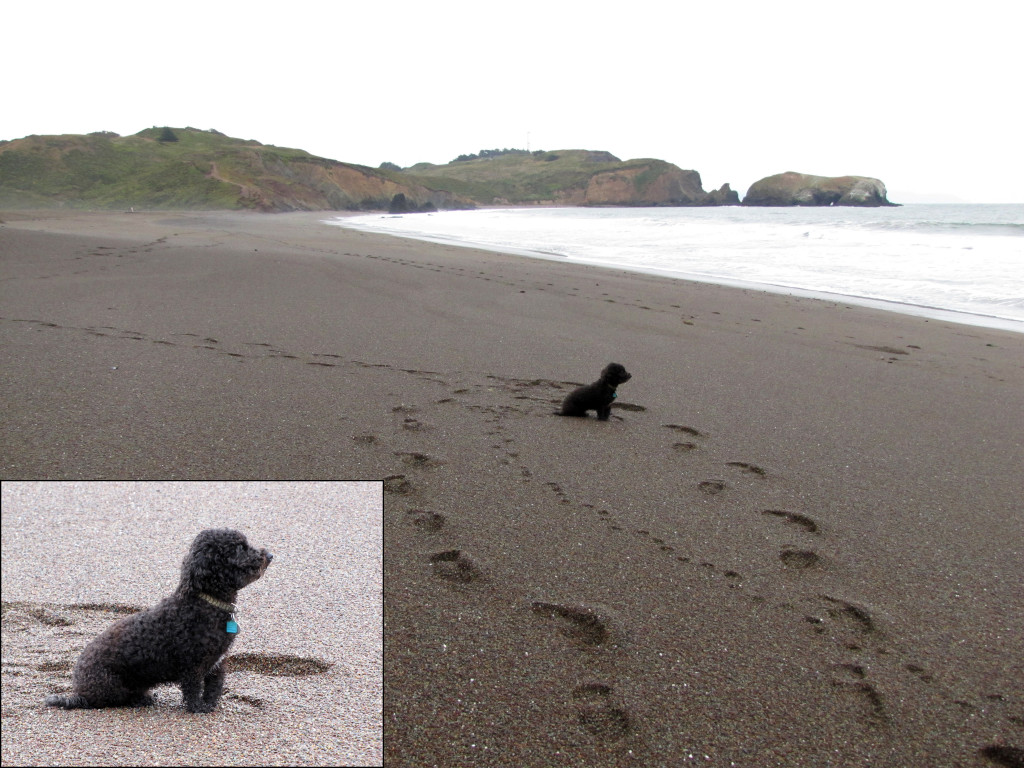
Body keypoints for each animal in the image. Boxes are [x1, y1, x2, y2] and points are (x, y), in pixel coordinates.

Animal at [45, 528, 272, 716]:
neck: (205, 603)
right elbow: (193, 689)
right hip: (111, 685)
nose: (269, 555)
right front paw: (198, 708)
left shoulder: (218, 662)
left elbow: (214, 687)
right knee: (114, 700)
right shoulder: (193, 665)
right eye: (239, 548)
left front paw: (211, 704)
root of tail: (79, 693)